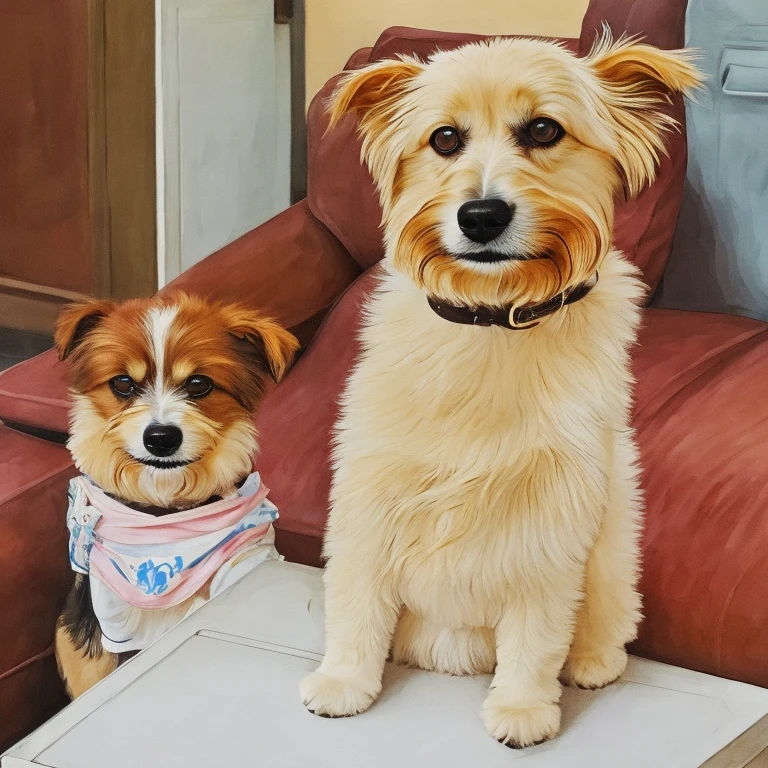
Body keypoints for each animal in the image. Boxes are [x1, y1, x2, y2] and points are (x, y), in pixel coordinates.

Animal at [54, 292, 298, 696]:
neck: (165, 512)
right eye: (123, 383)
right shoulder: (107, 618)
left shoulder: (241, 566)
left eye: (199, 383)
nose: (161, 438)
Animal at [300, 33, 704, 748]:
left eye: (544, 130)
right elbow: (356, 603)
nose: (481, 215)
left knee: (604, 618)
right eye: (444, 138)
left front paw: (522, 709)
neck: (490, 321)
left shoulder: (553, 515)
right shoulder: (368, 494)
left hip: (616, 535)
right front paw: (344, 683)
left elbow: (537, 631)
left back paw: (593, 662)